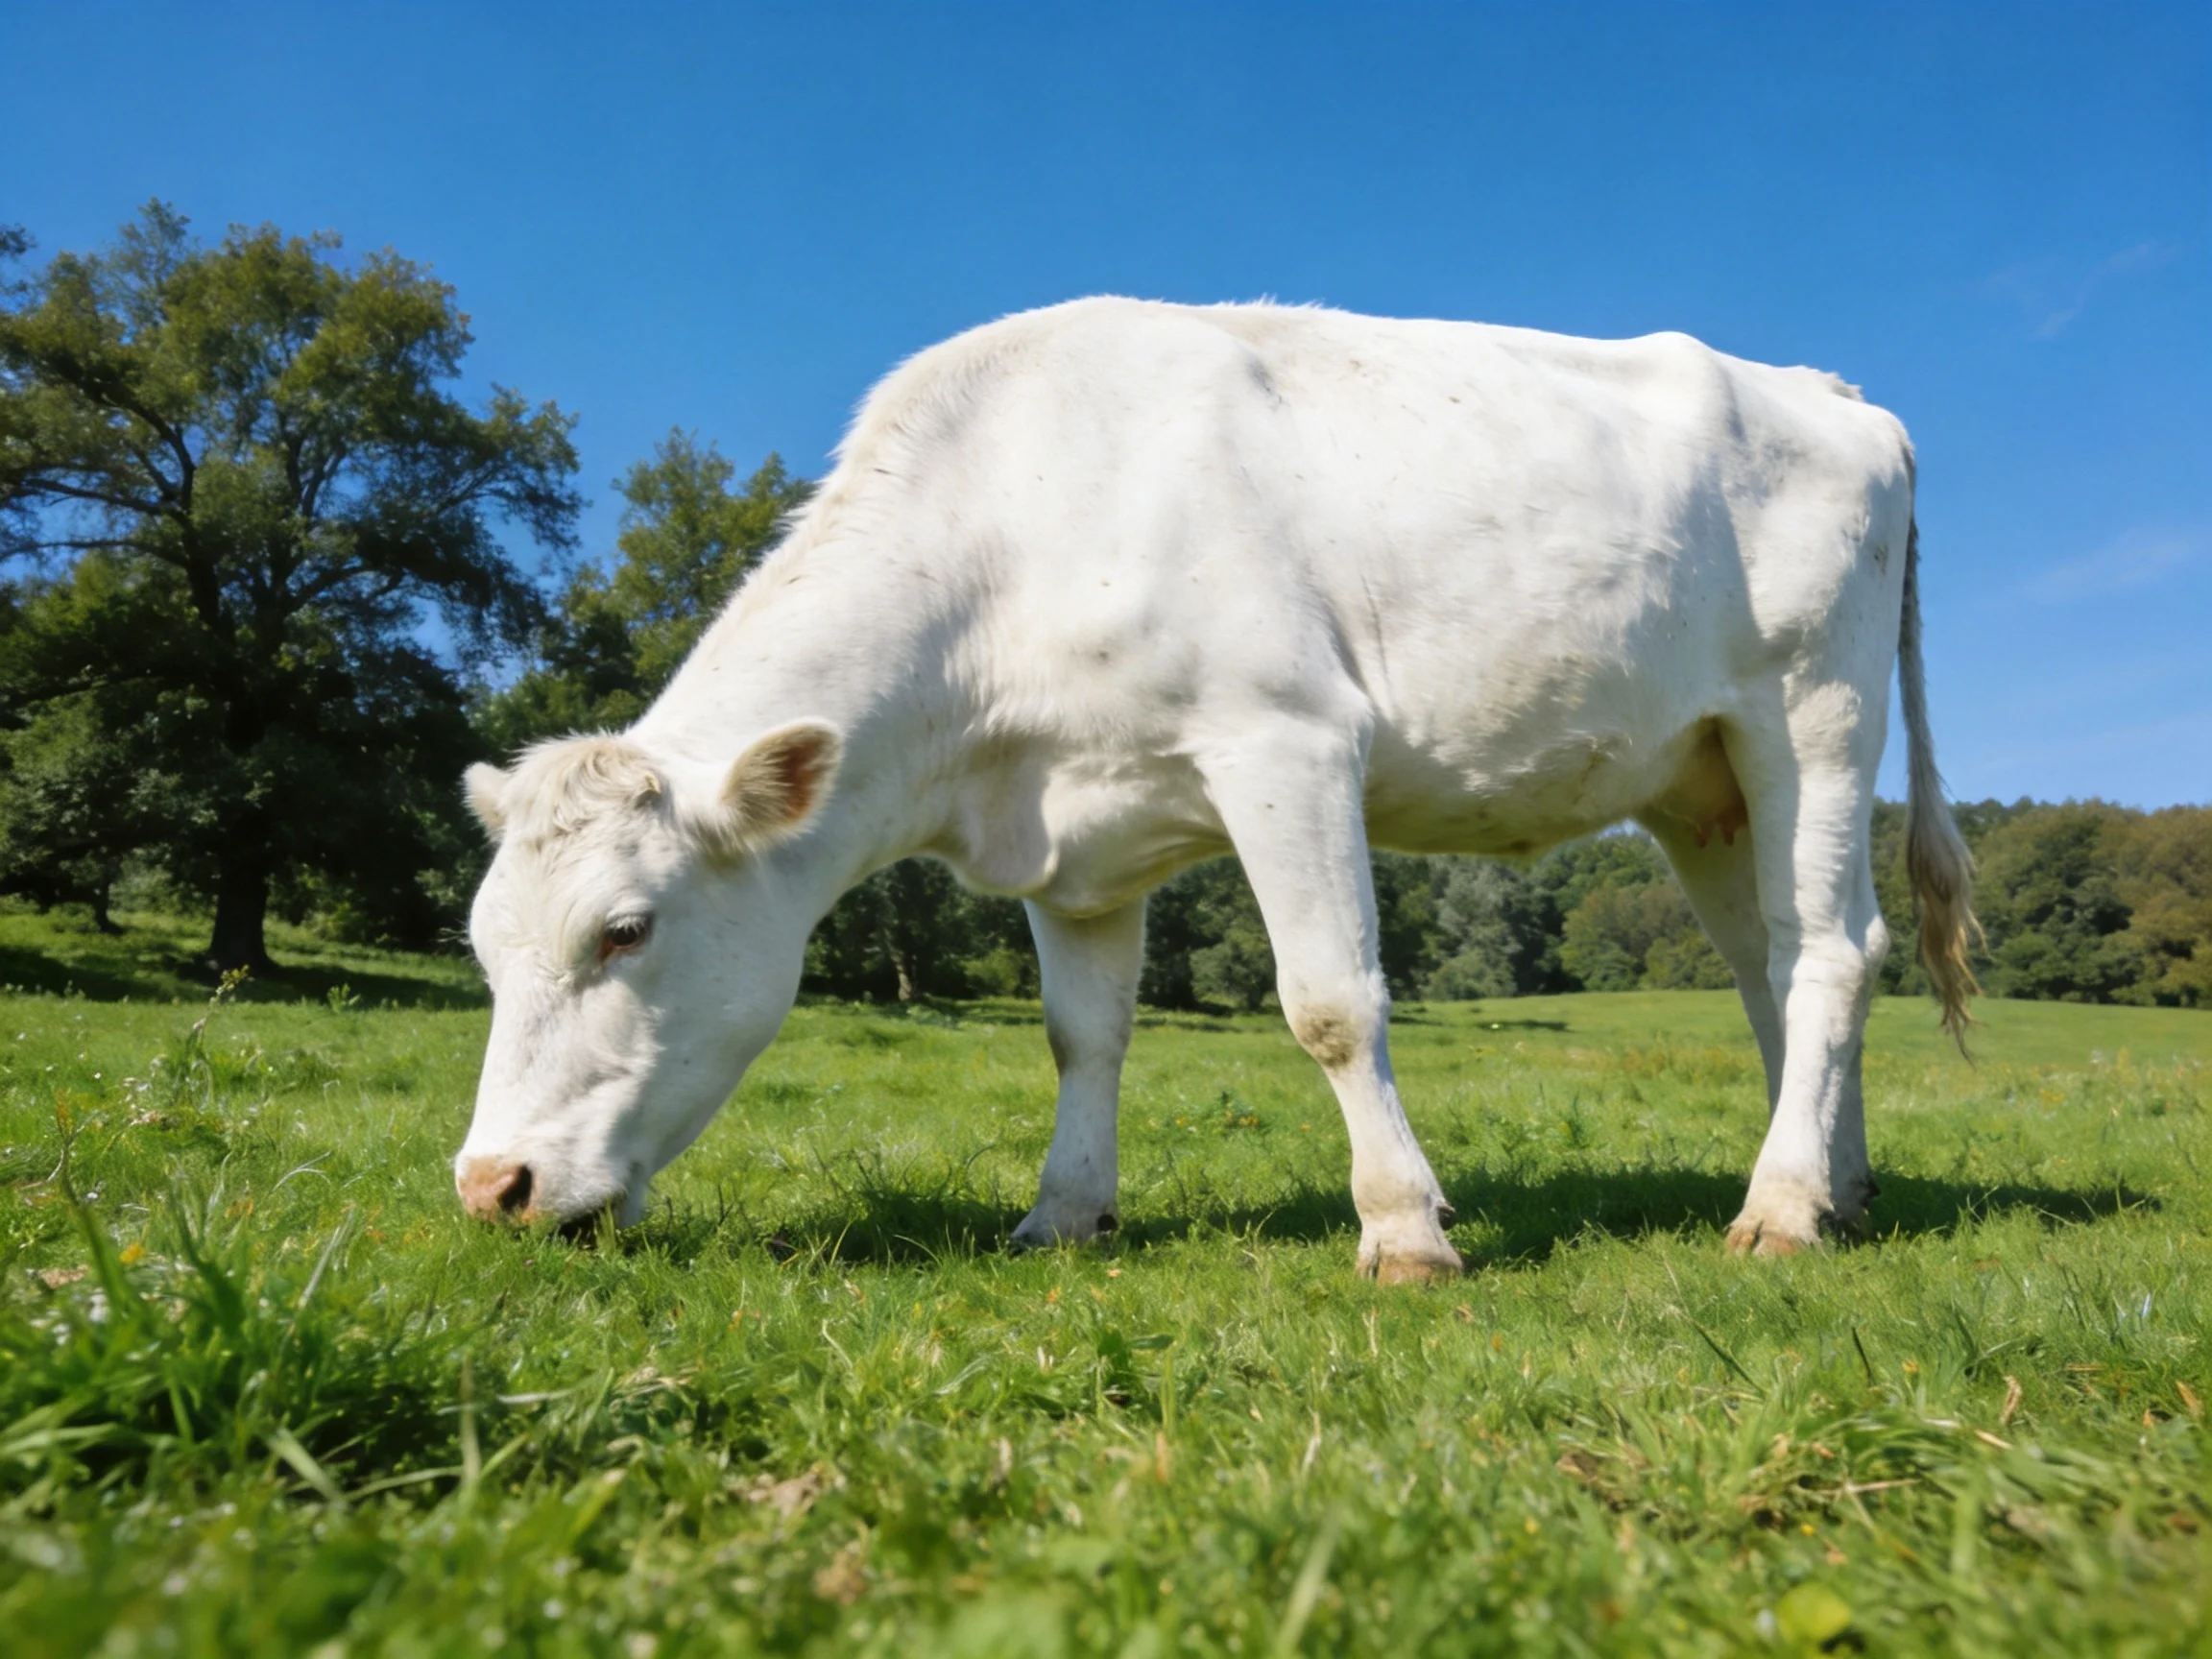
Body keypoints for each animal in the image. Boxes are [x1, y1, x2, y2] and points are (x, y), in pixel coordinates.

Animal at [455, 298, 1978, 1281]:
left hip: (1813, 712)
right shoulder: (1070, 844)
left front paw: (1405, 1230)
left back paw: (1780, 1208)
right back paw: (1836, 1185)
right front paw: (1061, 1216)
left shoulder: (1287, 740)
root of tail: (1834, 393)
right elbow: (1081, 1036)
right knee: (1777, 963)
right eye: (481, 950)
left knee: (1832, 953)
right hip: (1700, 777)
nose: (488, 1188)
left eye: (626, 930)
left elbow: (1329, 1003)